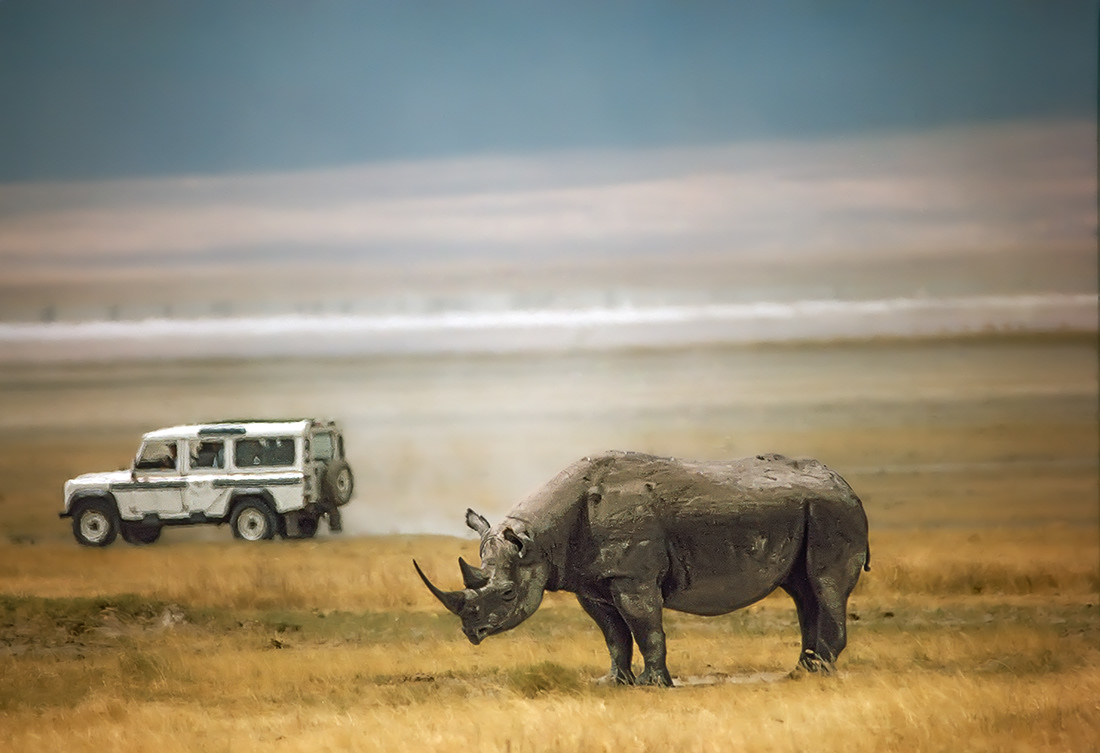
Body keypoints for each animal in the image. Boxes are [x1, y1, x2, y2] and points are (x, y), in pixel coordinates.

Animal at [414, 451, 870, 686]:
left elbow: (645, 626)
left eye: (507, 594)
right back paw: (800, 673)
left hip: (833, 511)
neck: (540, 541)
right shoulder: (593, 581)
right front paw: (613, 683)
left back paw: (819, 675)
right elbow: (613, 635)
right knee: (802, 591)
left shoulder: (633, 577)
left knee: (824, 585)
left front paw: (654, 685)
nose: (471, 632)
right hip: (811, 509)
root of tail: (846, 484)